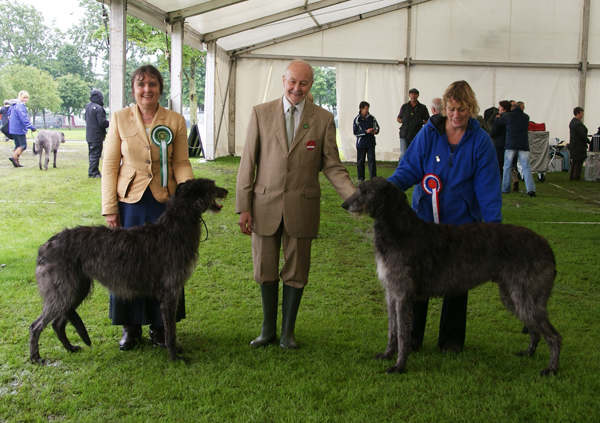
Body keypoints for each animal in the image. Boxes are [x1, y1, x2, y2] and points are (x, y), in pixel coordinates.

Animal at [342, 177, 564, 376]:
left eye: (366, 191)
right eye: (359, 187)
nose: (344, 204)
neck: (400, 229)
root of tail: (547, 247)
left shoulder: (402, 294)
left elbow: (403, 334)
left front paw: (399, 366)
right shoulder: (391, 293)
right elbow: (392, 329)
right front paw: (388, 355)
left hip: (525, 295)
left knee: (554, 335)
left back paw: (551, 369)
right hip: (512, 295)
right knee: (535, 329)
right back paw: (529, 353)